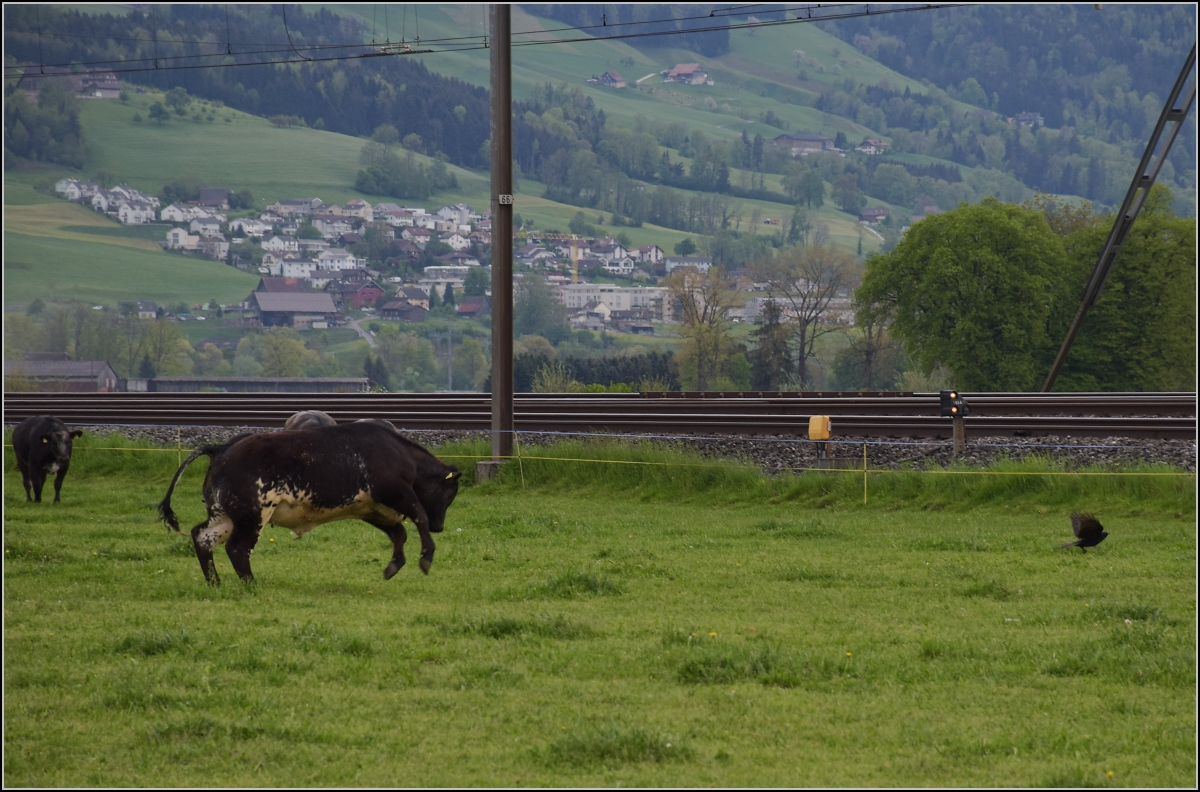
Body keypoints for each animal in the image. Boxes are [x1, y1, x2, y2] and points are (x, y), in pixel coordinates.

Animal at [159, 420, 458, 580]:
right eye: (450, 493)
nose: (440, 526)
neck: (400, 454)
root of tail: (220, 448)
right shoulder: (397, 493)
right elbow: (419, 516)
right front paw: (426, 556)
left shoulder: (372, 509)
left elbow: (399, 533)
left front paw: (393, 565)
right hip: (252, 515)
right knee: (237, 549)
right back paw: (251, 584)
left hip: (225, 515)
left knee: (202, 537)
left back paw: (215, 583)